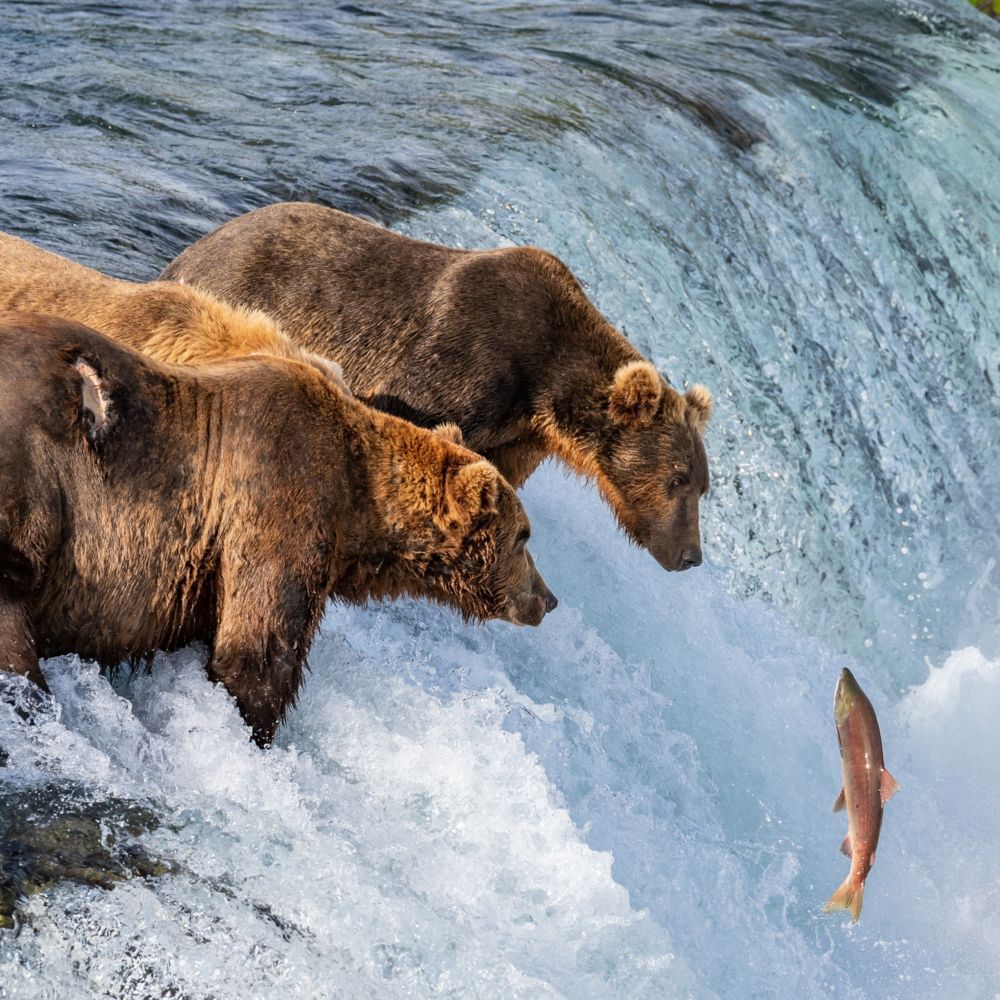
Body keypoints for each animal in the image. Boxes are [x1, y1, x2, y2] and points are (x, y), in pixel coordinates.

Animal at [0, 312, 556, 747]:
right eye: (525, 536)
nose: (547, 599)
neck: (361, 506)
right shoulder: (280, 493)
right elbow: (258, 652)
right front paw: (253, 728)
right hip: (36, 493)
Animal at [161, 202, 713, 572]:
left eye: (701, 485)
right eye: (679, 478)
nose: (691, 554)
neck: (545, 385)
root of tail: (194, 248)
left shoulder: (517, 434)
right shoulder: (459, 358)